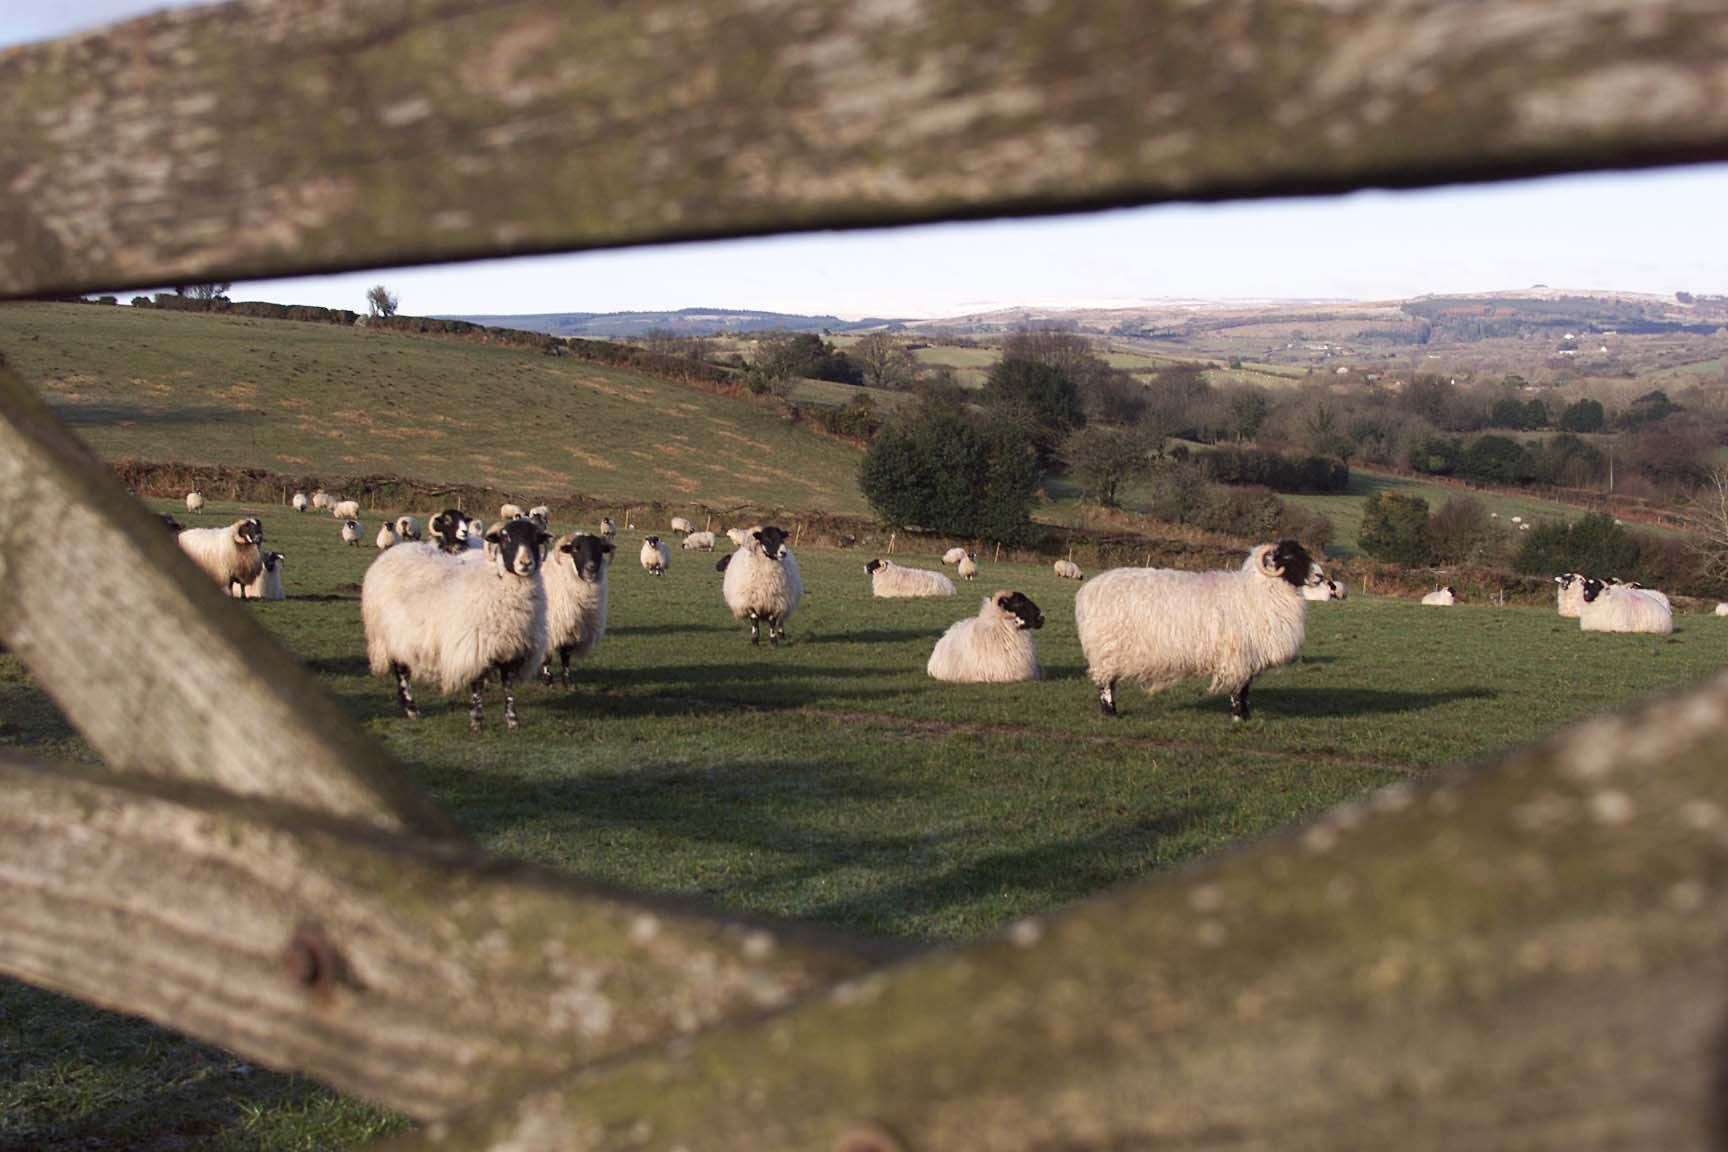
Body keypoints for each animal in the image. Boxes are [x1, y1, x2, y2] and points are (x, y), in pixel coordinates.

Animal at [361, 521, 549, 728]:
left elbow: (508, 687)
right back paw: (412, 709)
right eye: (506, 537)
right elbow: (476, 685)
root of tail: (394, 551)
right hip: (389, 634)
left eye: (536, 538)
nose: (525, 563)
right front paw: (477, 720)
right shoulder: (474, 647)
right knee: (401, 672)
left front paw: (512, 720)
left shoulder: (511, 650)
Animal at [546, 531, 622, 683]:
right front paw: (548, 677)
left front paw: (567, 681)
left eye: (600, 549)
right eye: (576, 548)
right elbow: (548, 656)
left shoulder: (572, 630)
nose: (591, 567)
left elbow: (566, 655)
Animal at [1078, 542, 1320, 721]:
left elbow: (1245, 689)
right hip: (1106, 649)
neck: (1258, 591)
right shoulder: (1238, 656)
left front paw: (1246, 715)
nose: (1320, 577)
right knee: (1105, 684)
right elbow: (1239, 688)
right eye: (1288, 557)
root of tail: (1087, 590)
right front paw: (1238, 716)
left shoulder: (1249, 657)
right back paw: (1110, 712)